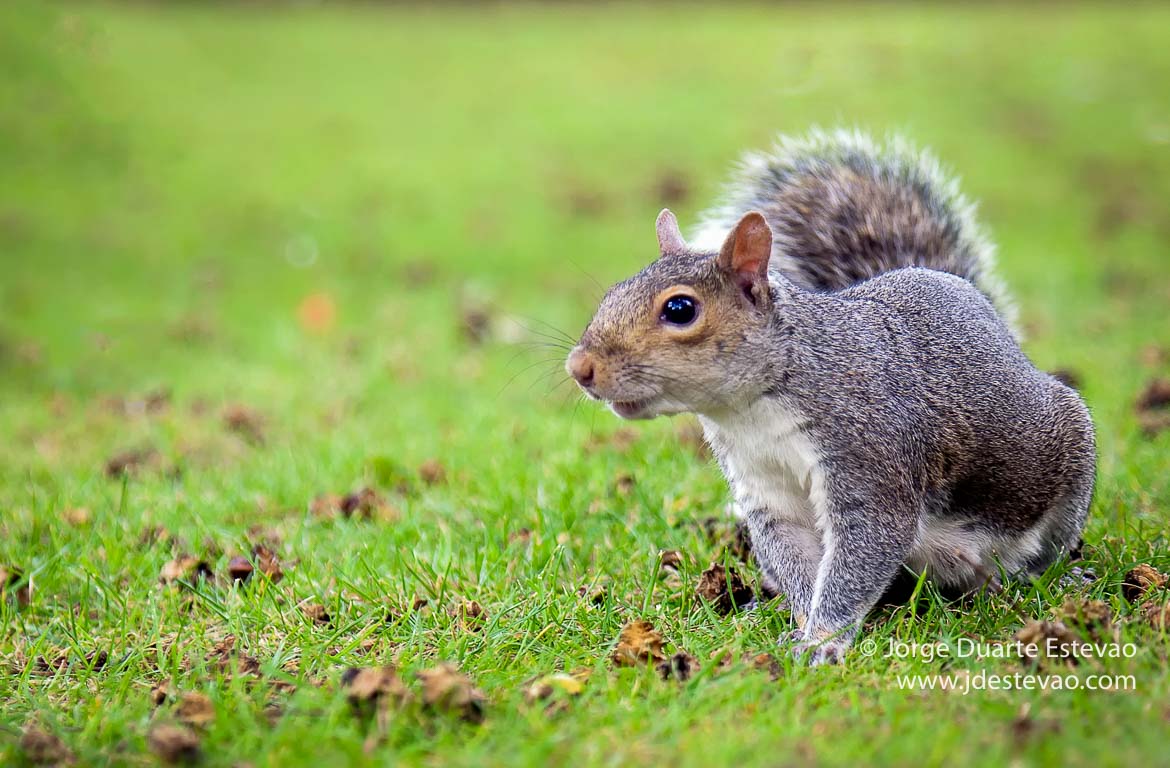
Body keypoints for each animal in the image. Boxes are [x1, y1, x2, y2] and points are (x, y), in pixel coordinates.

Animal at [566, 128, 1095, 664]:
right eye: (612, 292)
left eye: (679, 309)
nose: (579, 368)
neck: (751, 410)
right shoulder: (766, 491)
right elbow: (798, 560)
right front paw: (803, 628)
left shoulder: (869, 462)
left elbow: (860, 554)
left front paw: (822, 641)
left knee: (1044, 550)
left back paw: (1054, 576)